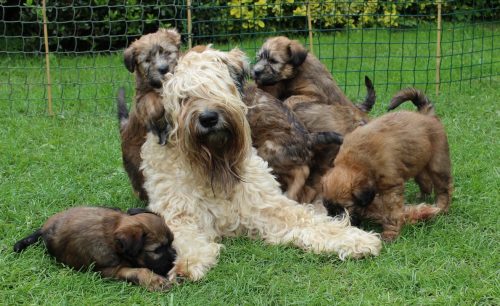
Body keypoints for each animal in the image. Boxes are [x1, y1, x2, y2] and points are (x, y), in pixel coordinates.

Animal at [13, 207, 177, 290]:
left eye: (172, 242)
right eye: (157, 250)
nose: (176, 259)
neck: (112, 240)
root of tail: (43, 228)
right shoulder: (108, 270)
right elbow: (137, 270)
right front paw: (154, 280)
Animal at [117, 28, 182, 201]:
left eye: (167, 53)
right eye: (147, 60)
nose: (163, 68)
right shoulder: (141, 100)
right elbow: (150, 99)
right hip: (135, 160)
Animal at [139, 46, 380, 280]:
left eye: (216, 88)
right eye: (183, 98)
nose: (209, 118)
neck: (216, 166)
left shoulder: (265, 204)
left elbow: (306, 220)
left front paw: (355, 239)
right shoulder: (178, 212)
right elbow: (184, 236)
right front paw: (188, 263)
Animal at [322, 88, 452, 241]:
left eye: (345, 208)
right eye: (327, 206)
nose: (333, 221)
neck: (357, 161)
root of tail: (427, 115)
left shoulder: (391, 188)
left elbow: (391, 213)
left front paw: (390, 233)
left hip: (438, 163)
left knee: (444, 189)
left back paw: (442, 208)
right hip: (418, 158)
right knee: (425, 180)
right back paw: (422, 198)